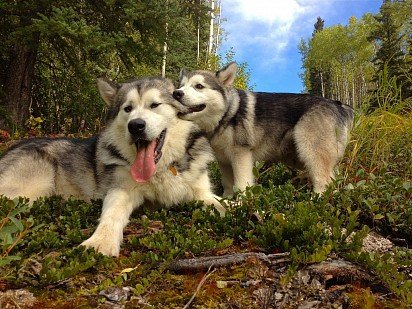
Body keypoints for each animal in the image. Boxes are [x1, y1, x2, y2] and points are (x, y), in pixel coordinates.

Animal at [0, 77, 225, 255]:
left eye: (155, 105)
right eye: (128, 108)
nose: (135, 126)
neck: (162, 168)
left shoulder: (201, 193)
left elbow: (222, 203)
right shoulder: (120, 190)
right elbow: (111, 215)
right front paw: (101, 241)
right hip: (29, 191)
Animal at [174, 62, 354, 195]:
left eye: (199, 86)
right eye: (181, 86)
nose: (176, 93)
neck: (226, 114)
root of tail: (337, 104)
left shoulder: (241, 156)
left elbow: (241, 185)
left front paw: (239, 205)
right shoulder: (224, 161)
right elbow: (228, 185)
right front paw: (226, 202)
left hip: (310, 152)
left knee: (323, 181)